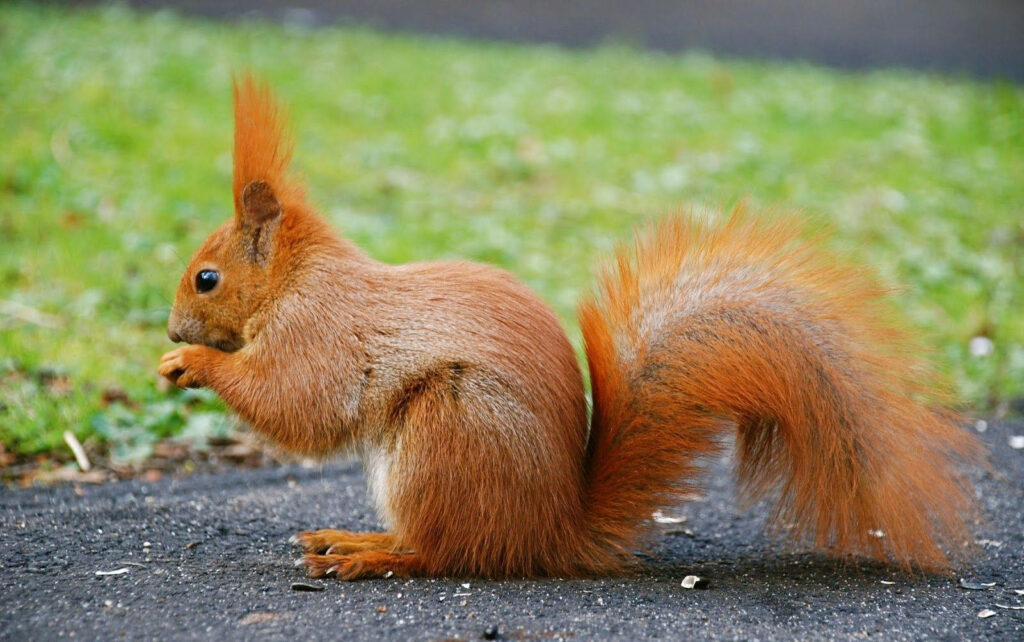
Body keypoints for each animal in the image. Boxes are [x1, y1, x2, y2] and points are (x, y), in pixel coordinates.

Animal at [159, 76, 982, 580]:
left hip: (447, 431)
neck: (296, 279)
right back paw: (351, 537)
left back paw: (368, 553)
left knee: (445, 552)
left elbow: (301, 404)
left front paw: (196, 365)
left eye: (207, 278)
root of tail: (551, 531)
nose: (170, 331)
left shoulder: (320, 331)